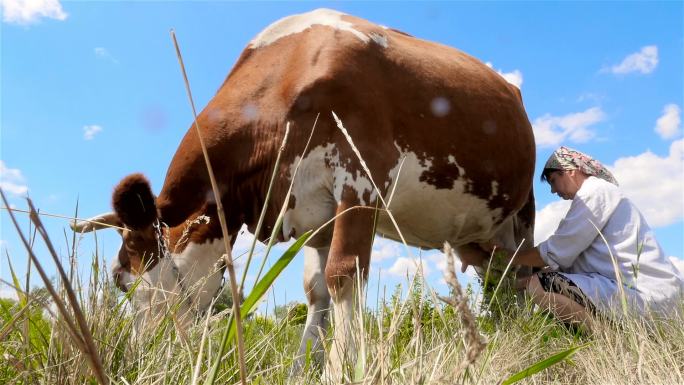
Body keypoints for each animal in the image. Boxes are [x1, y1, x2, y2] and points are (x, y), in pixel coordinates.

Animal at [73, 8, 536, 378]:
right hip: (478, 237)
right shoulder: (311, 211)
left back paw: (528, 338)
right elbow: (316, 291)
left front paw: (341, 369)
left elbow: (343, 274)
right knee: (496, 280)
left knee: (520, 278)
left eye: (119, 282)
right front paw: (301, 370)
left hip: (520, 216)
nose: (138, 359)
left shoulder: (362, 179)